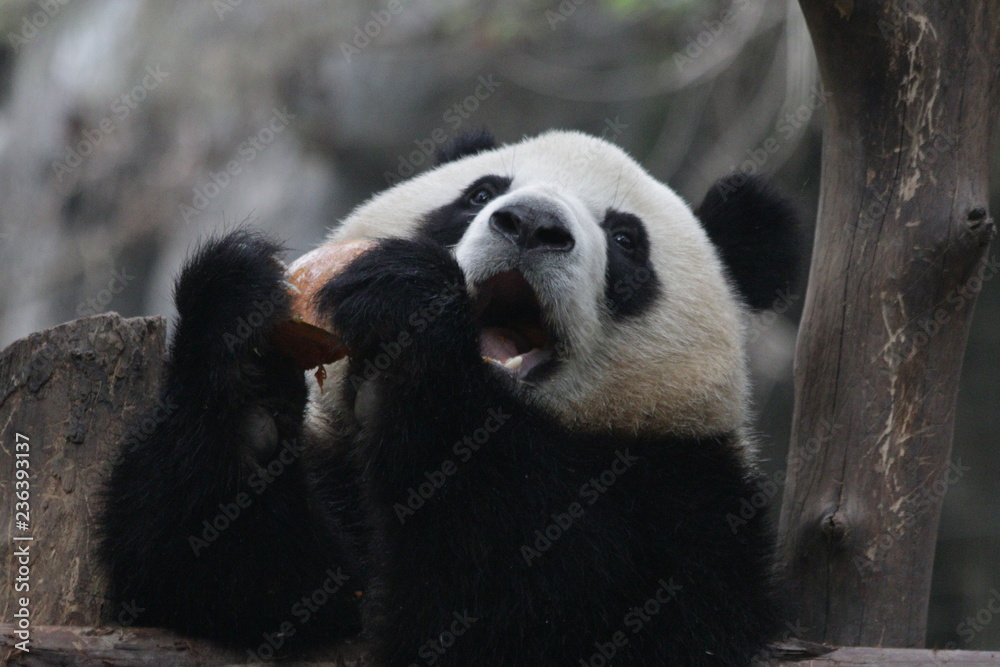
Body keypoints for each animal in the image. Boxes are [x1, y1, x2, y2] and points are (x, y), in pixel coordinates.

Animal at [99, 129, 799, 665]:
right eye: (481, 194)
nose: (533, 225)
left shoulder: (694, 501)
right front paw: (242, 351)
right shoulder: (332, 465)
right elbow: (225, 584)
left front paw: (417, 313)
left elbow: (553, 602)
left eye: (627, 240)